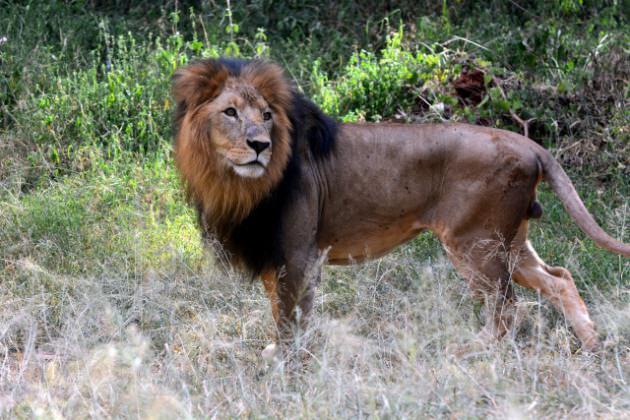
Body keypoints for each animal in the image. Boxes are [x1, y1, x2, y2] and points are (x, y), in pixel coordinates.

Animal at [173, 56, 630, 352]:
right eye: (230, 112)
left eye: (267, 115)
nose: (259, 145)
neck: (235, 183)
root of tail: (528, 143)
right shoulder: (275, 252)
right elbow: (279, 309)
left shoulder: (299, 252)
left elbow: (290, 315)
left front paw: (287, 363)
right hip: (510, 242)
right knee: (559, 279)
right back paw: (592, 346)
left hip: (475, 243)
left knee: (507, 308)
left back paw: (474, 352)